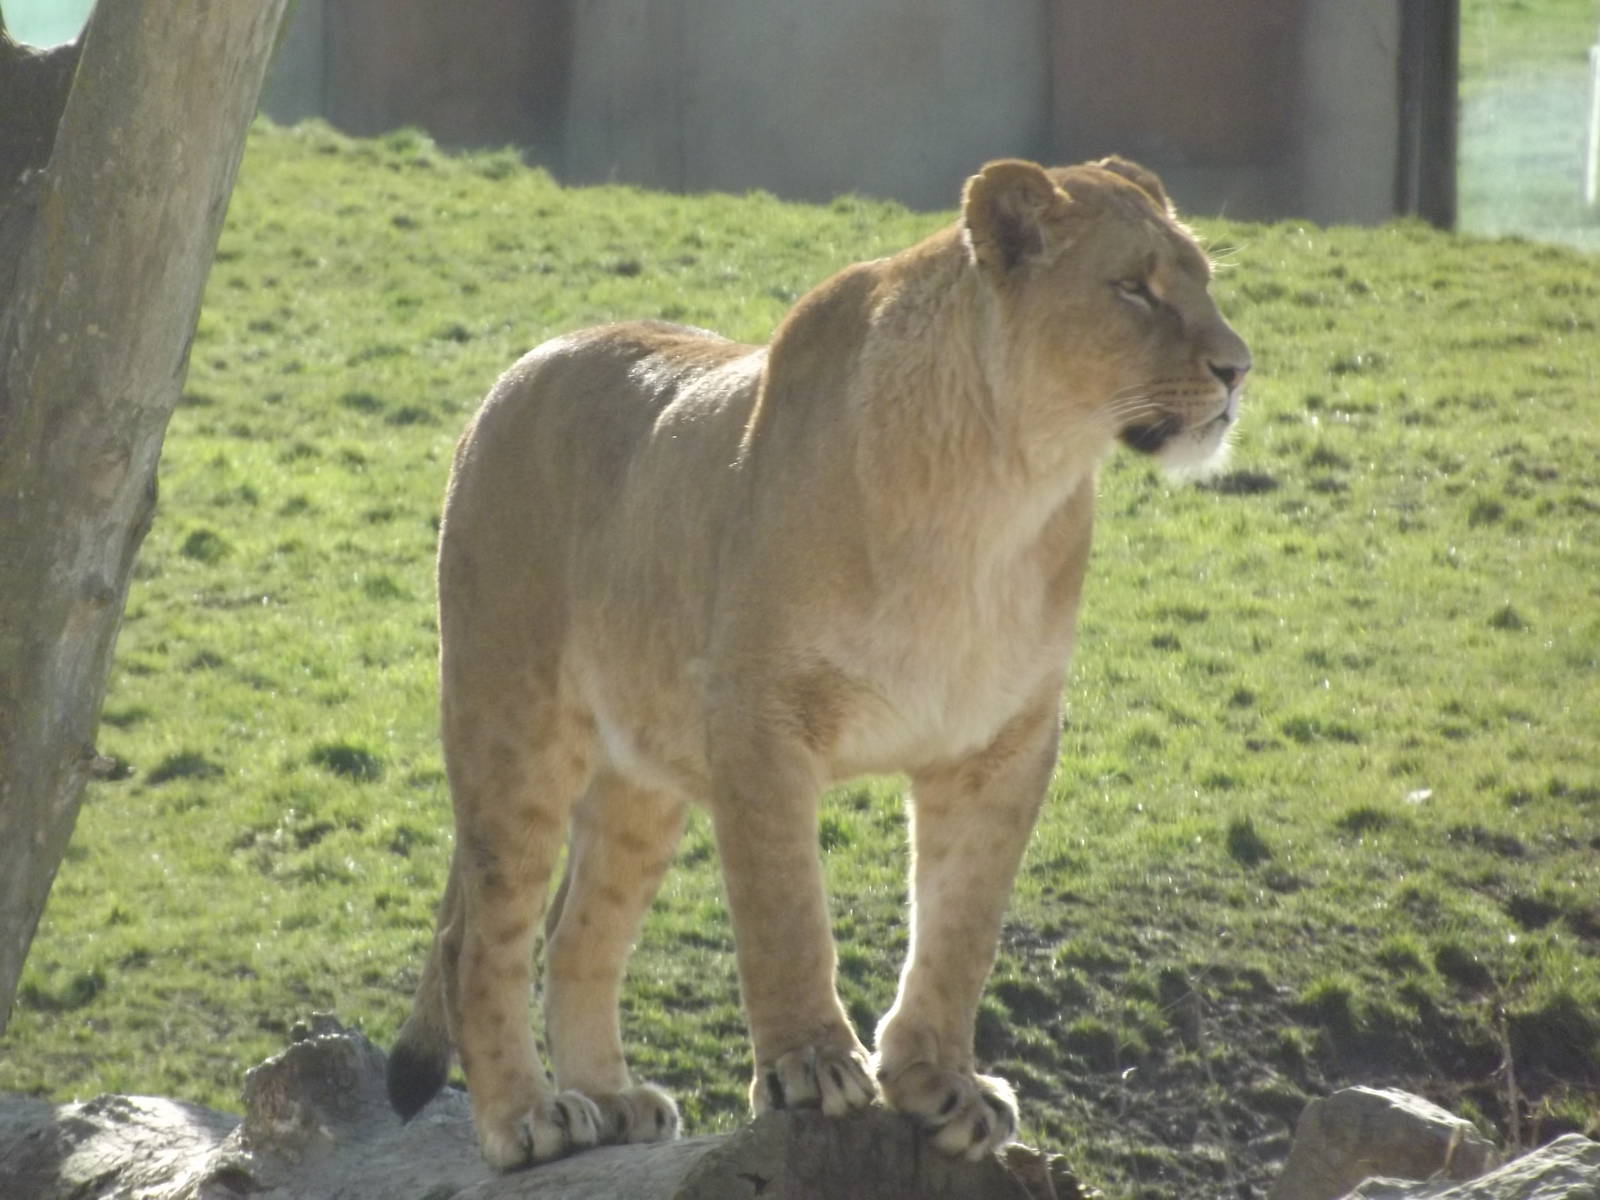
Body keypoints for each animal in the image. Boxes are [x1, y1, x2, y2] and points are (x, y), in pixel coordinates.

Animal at [386, 155, 1250, 1169]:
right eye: (1134, 288)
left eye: (1203, 281)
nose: (1238, 368)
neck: (1000, 490)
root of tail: (521, 368)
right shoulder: (757, 714)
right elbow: (786, 908)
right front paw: (811, 1067)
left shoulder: (1004, 740)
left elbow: (962, 925)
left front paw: (942, 1084)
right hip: (513, 724)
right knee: (484, 936)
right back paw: (528, 1118)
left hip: (641, 776)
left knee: (576, 933)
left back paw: (613, 1098)